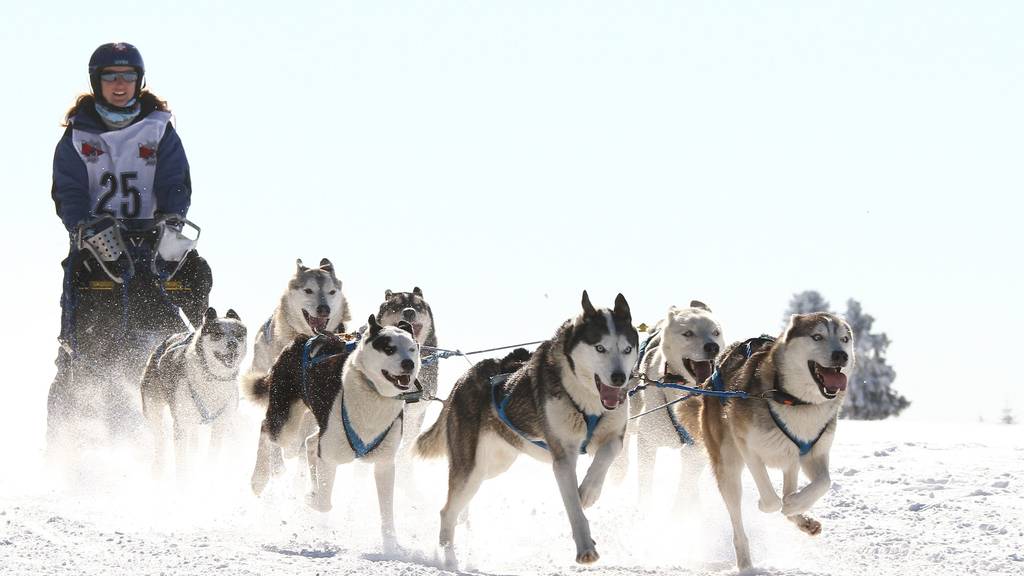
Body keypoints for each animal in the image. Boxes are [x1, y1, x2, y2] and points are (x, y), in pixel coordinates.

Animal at [140, 307, 247, 473]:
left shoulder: (220, 424)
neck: (212, 379)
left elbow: (212, 454)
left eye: (239, 335)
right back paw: (158, 467)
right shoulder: (181, 424)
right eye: (218, 334)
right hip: (153, 409)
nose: (232, 343)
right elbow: (181, 464)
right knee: (160, 438)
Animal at [247, 315, 419, 549]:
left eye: (412, 349)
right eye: (389, 348)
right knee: (267, 430)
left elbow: (387, 511)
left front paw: (391, 545)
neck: (373, 395)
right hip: (286, 421)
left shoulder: (384, 464)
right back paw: (261, 476)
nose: (409, 364)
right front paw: (310, 497)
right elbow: (323, 503)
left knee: (310, 443)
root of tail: (302, 339)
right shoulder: (329, 458)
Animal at [415, 291, 630, 565]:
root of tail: (462, 380)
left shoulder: (615, 435)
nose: (619, 378)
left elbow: (607, 454)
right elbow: (573, 507)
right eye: (600, 348)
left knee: (460, 503)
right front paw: (585, 548)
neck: (586, 401)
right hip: (471, 467)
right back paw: (449, 558)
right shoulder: (563, 457)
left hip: (493, 465)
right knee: (447, 511)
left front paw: (589, 491)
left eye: (627, 349)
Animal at [618, 297, 724, 504]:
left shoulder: (695, 451)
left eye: (716, 332)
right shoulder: (647, 441)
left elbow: (685, 490)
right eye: (688, 333)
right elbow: (645, 484)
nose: (712, 347)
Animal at [704, 311, 856, 565]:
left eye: (844, 339)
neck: (798, 402)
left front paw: (795, 504)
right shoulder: (748, 448)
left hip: (791, 460)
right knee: (738, 520)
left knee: (789, 489)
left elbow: (823, 482)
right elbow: (772, 500)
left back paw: (803, 520)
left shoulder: (815, 454)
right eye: (817, 336)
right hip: (729, 467)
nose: (841, 355)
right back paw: (745, 563)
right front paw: (771, 504)